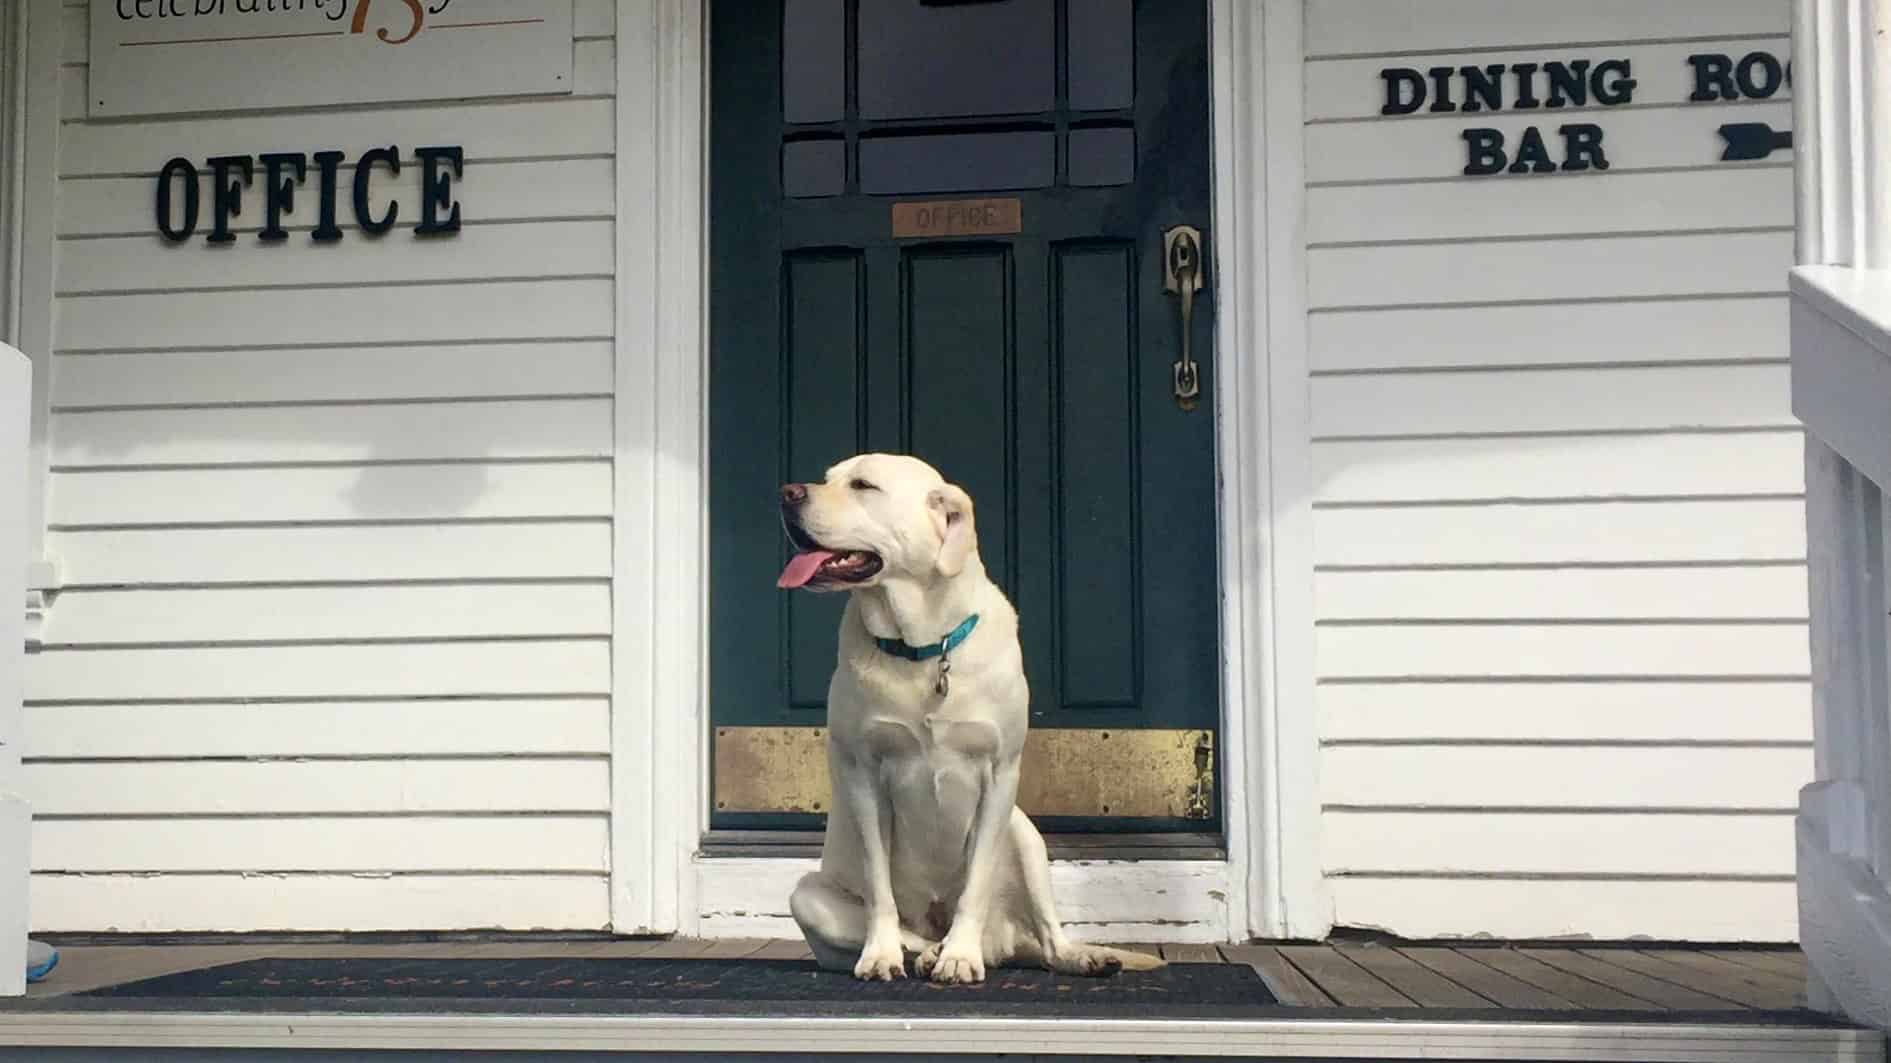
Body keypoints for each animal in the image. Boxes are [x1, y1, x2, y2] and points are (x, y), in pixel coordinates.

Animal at [771, 450, 1157, 983]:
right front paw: (881, 955)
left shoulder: (999, 773)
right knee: (907, 933)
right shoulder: (863, 775)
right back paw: (925, 951)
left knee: (1047, 937)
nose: (787, 492)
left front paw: (959, 955)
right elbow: (879, 889)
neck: (922, 645)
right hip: (807, 896)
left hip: (1025, 835)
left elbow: (976, 881)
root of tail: (1005, 945)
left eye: (863, 485)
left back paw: (1071, 954)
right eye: (828, 478)